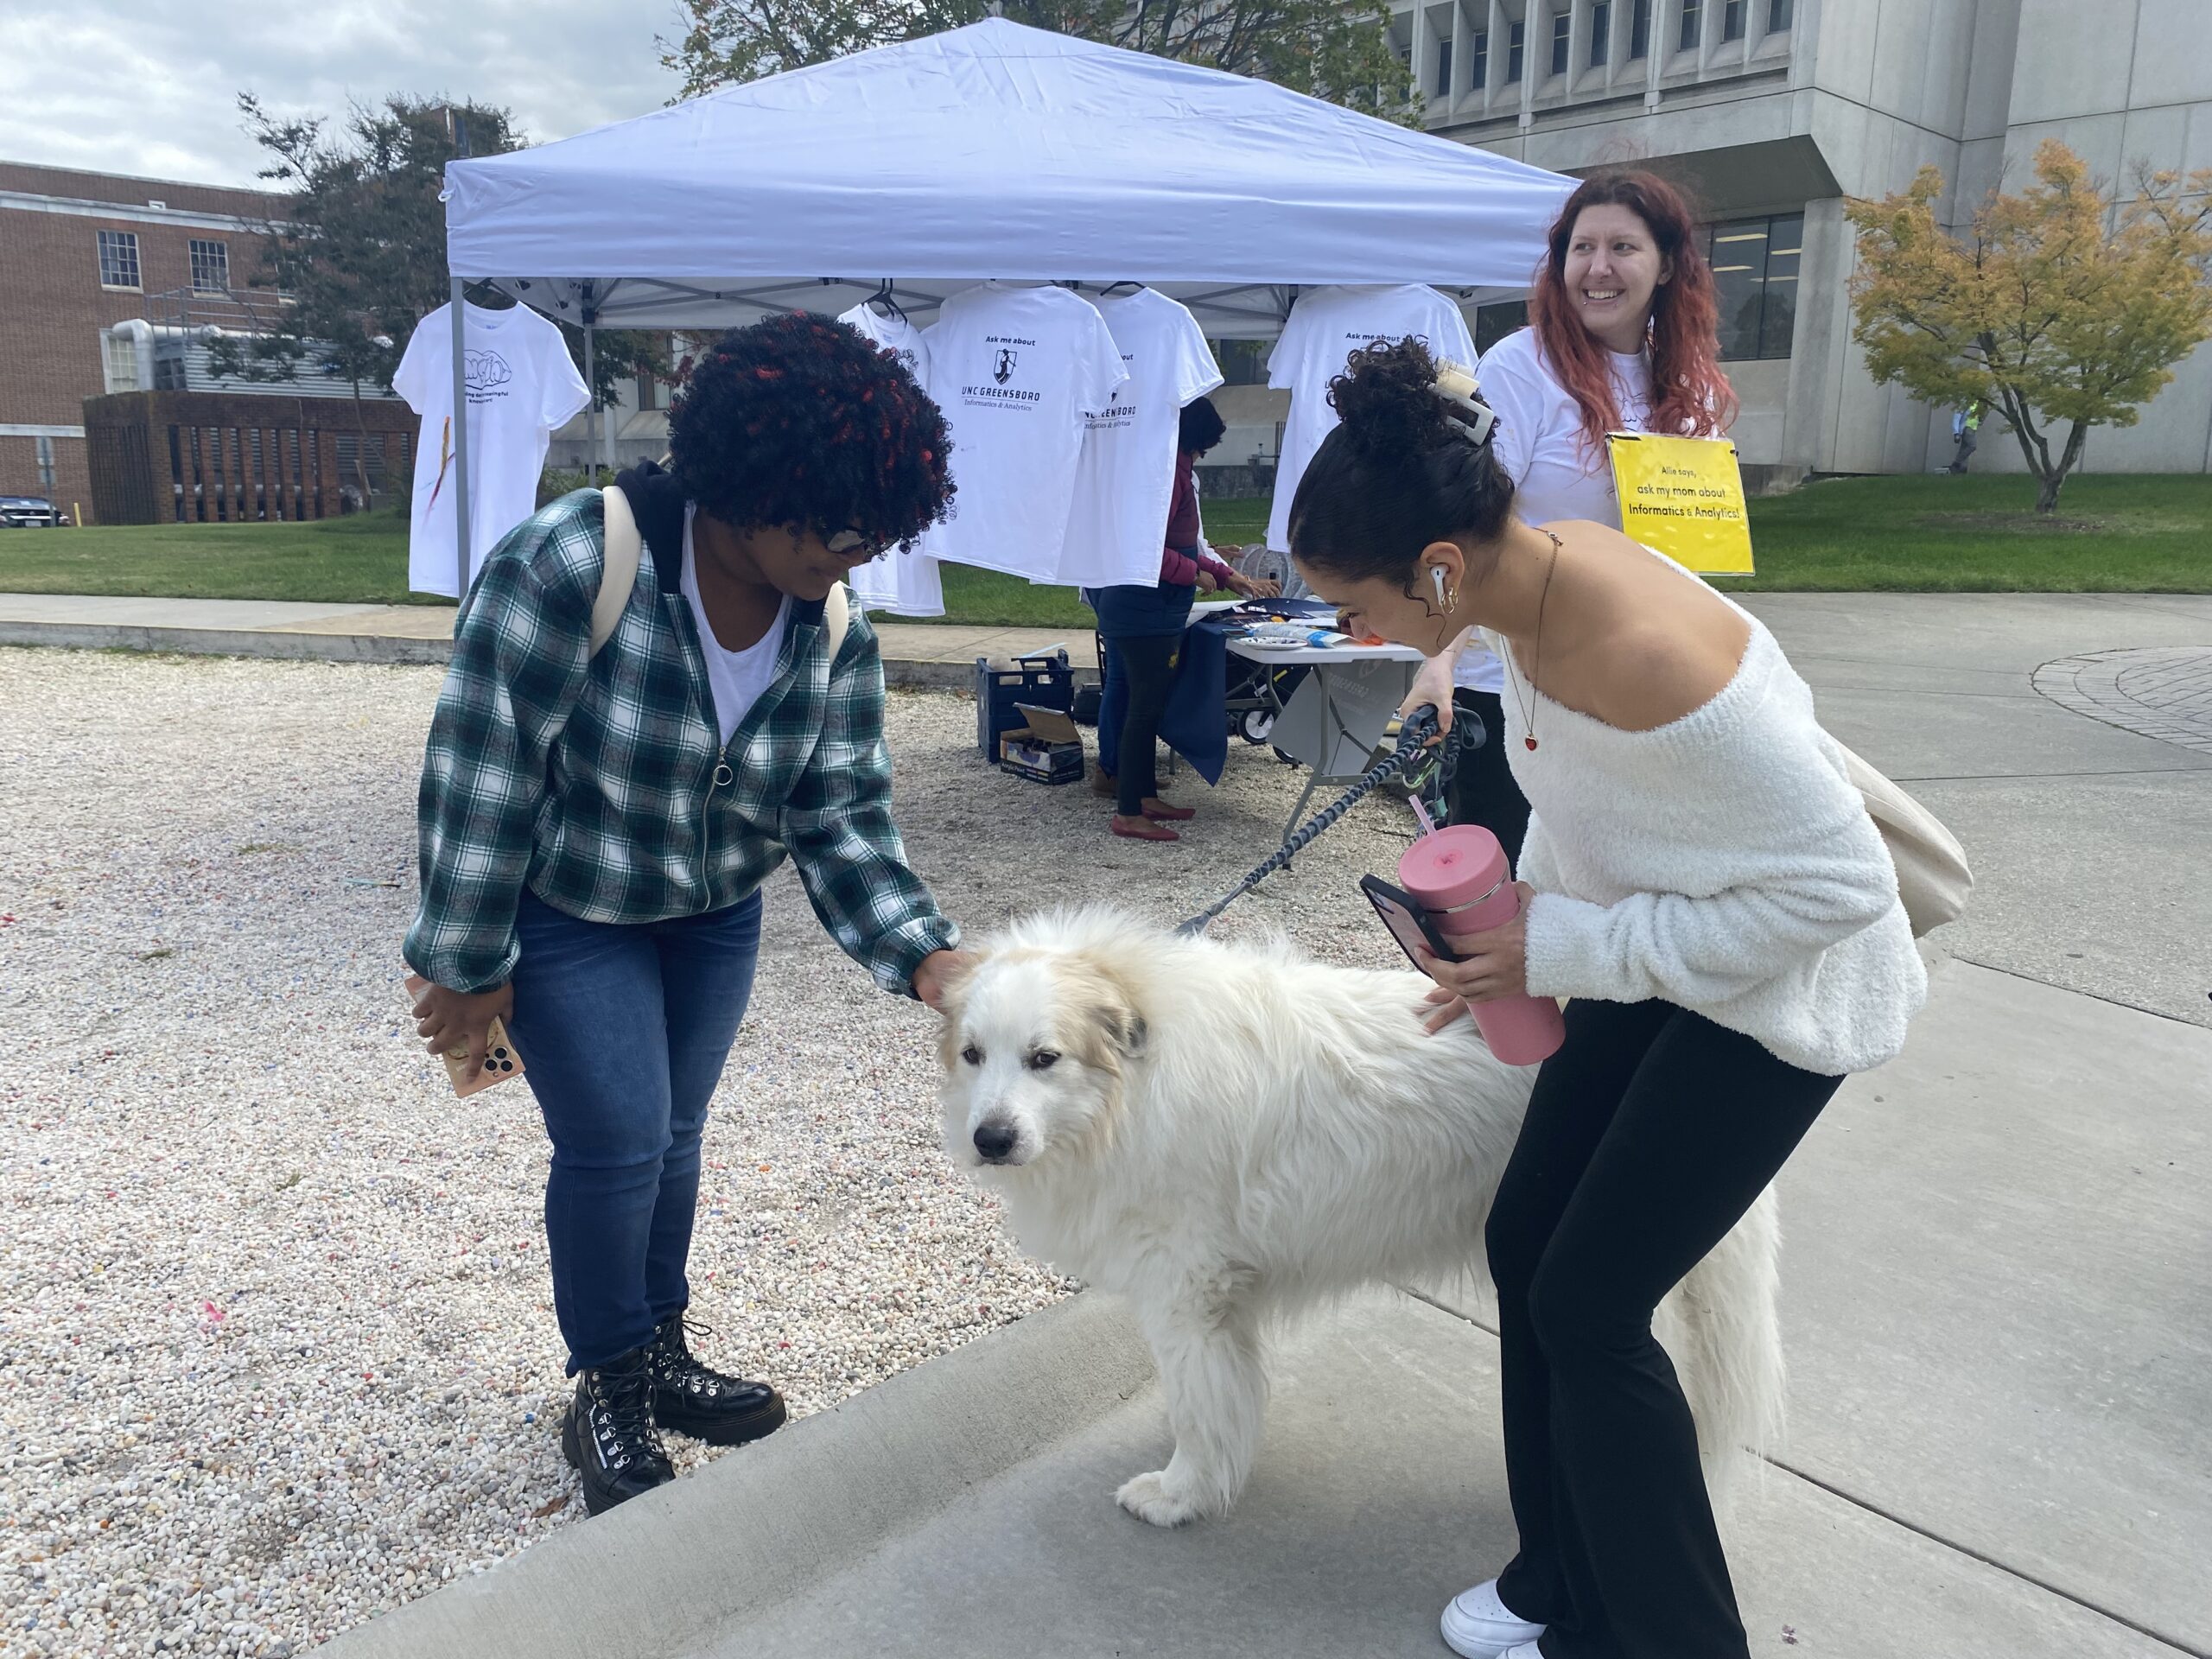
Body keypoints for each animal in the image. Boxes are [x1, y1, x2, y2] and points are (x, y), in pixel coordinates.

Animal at [933, 911, 1778, 1530]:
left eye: (1044, 1059)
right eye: (974, 1055)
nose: (991, 1140)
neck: (1137, 1080)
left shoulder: (1187, 1293)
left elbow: (1200, 1403)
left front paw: (1181, 1493)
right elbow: (1220, 1393)